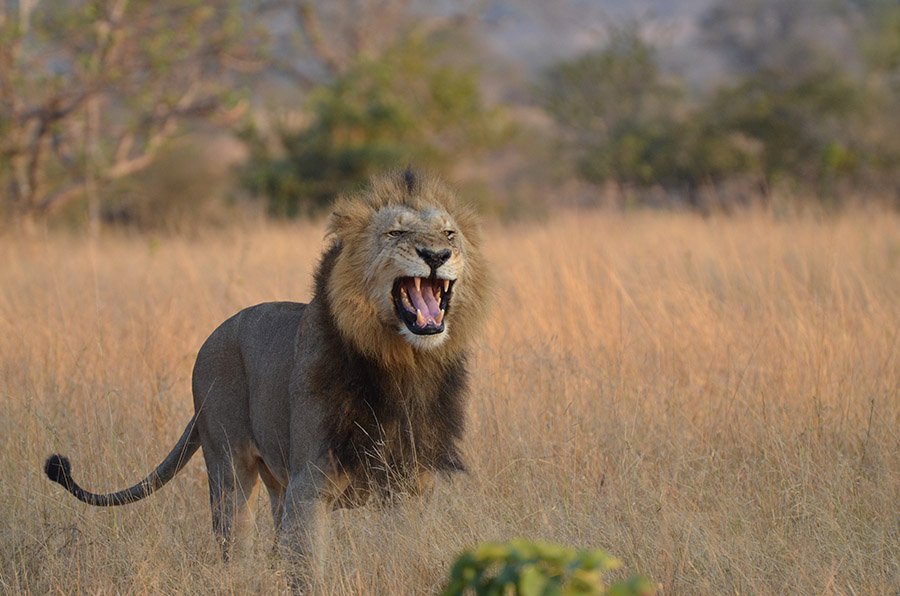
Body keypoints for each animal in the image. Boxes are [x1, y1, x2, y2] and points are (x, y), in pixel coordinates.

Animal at [42, 169, 488, 576]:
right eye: (396, 232)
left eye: (449, 235)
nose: (436, 256)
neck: (401, 364)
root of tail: (215, 334)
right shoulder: (309, 488)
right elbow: (308, 570)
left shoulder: (414, 487)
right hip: (228, 466)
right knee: (234, 540)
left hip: (277, 480)